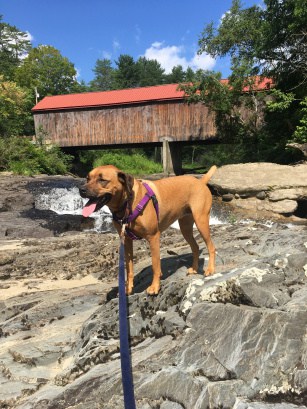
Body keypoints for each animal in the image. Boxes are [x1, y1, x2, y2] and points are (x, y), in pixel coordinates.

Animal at [80, 164, 218, 294]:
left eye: (102, 180)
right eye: (87, 178)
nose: (81, 189)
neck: (128, 202)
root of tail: (200, 181)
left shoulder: (153, 237)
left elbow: (155, 265)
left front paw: (154, 286)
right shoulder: (126, 241)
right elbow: (129, 267)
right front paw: (128, 288)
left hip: (201, 222)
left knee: (211, 247)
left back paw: (210, 269)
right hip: (185, 227)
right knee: (195, 247)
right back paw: (194, 269)